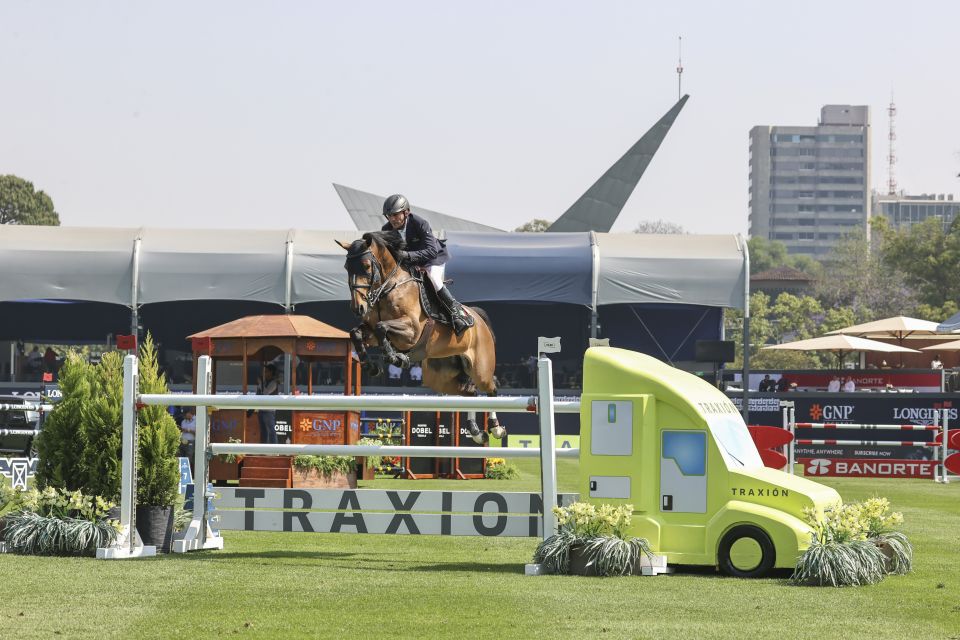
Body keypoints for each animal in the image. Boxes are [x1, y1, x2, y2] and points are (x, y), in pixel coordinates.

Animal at [334, 230, 506, 444]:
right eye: (346, 267)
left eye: (366, 266)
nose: (358, 308)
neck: (389, 286)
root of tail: (478, 319)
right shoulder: (370, 331)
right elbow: (356, 333)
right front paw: (371, 366)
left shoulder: (412, 331)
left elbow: (383, 328)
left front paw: (396, 357)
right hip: (442, 378)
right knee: (471, 393)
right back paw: (476, 432)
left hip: (480, 368)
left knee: (492, 386)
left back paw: (496, 428)